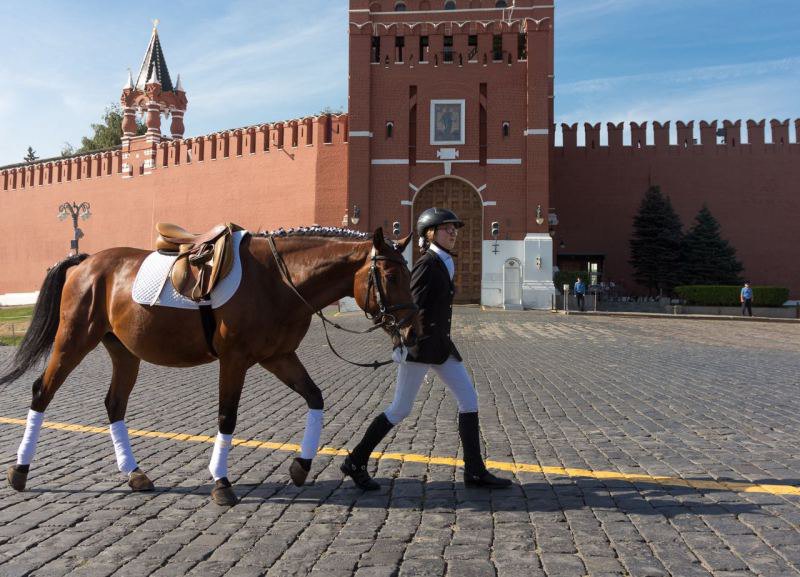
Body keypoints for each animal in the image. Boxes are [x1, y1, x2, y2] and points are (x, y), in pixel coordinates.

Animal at [3, 225, 418, 504]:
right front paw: (221, 483)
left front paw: (301, 466)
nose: (413, 330)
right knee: (42, 392)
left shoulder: (278, 357)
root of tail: (86, 261)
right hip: (73, 341)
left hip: (124, 352)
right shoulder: (234, 360)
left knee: (114, 404)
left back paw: (135, 474)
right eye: (391, 275)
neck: (276, 281)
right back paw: (20, 472)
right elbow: (226, 418)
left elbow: (315, 397)